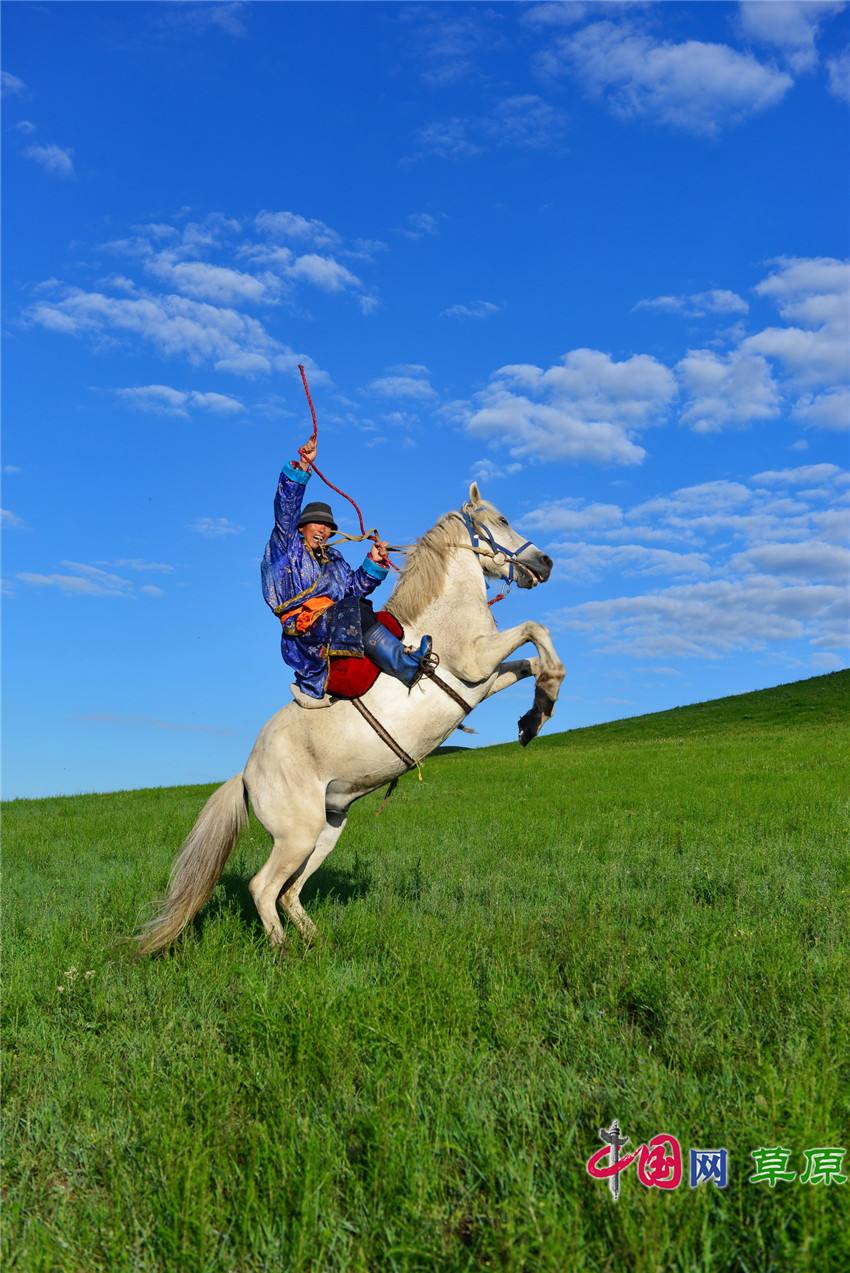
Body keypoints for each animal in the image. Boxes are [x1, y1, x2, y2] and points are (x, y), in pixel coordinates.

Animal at [138, 486, 564, 957]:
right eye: (502, 519)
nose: (545, 562)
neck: (444, 613)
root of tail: (246, 775)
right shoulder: (476, 662)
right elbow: (536, 629)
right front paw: (543, 700)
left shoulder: (483, 682)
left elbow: (531, 662)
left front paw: (536, 715)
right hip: (297, 837)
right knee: (263, 888)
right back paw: (285, 954)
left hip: (326, 833)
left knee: (290, 892)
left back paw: (320, 944)